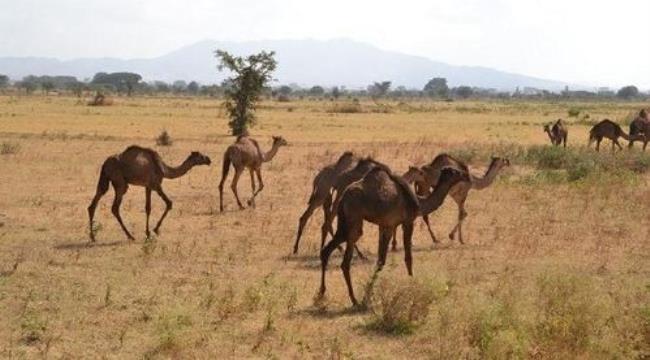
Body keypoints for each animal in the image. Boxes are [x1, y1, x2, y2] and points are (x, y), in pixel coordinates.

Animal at [318, 166, 466, 306]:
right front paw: (411, 284)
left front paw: (369, 295)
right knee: (345, 261)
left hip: (343, 221)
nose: (465, 174)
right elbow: (407, 257)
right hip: (354, 218)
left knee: (326, 251)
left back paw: (321, 294)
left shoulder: (386, 226)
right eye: (455, 172)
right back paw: (354, 300)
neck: (418, 203)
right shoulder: (407, 222)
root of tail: (343, 197)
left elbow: (380, 260)